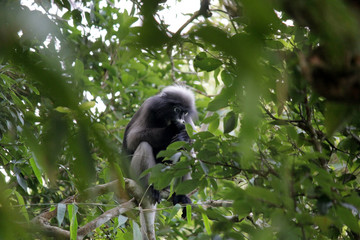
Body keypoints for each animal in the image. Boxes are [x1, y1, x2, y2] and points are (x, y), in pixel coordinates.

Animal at [123, 85, 197, 239]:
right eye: (176, 110)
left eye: (185, 112)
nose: (180, 119)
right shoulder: (148, 108)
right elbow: (133, 139)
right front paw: (172, 129)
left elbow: (192, 143)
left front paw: (184, 136)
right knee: (144, 145)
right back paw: (150, 188)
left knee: (186, 152)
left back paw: (181, 196)